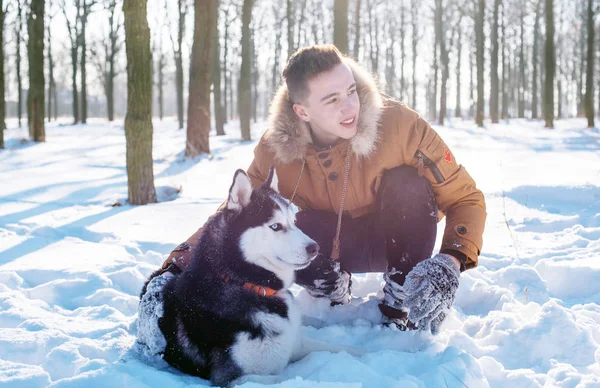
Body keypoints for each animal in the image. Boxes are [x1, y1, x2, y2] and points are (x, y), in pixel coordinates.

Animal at [138, 168, 358, 386]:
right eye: (275, 226)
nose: (315, 248)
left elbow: (342, 348)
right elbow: (284, 378)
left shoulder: (296, 344)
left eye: (294, 222)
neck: (250, 284)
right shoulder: (231, 378)